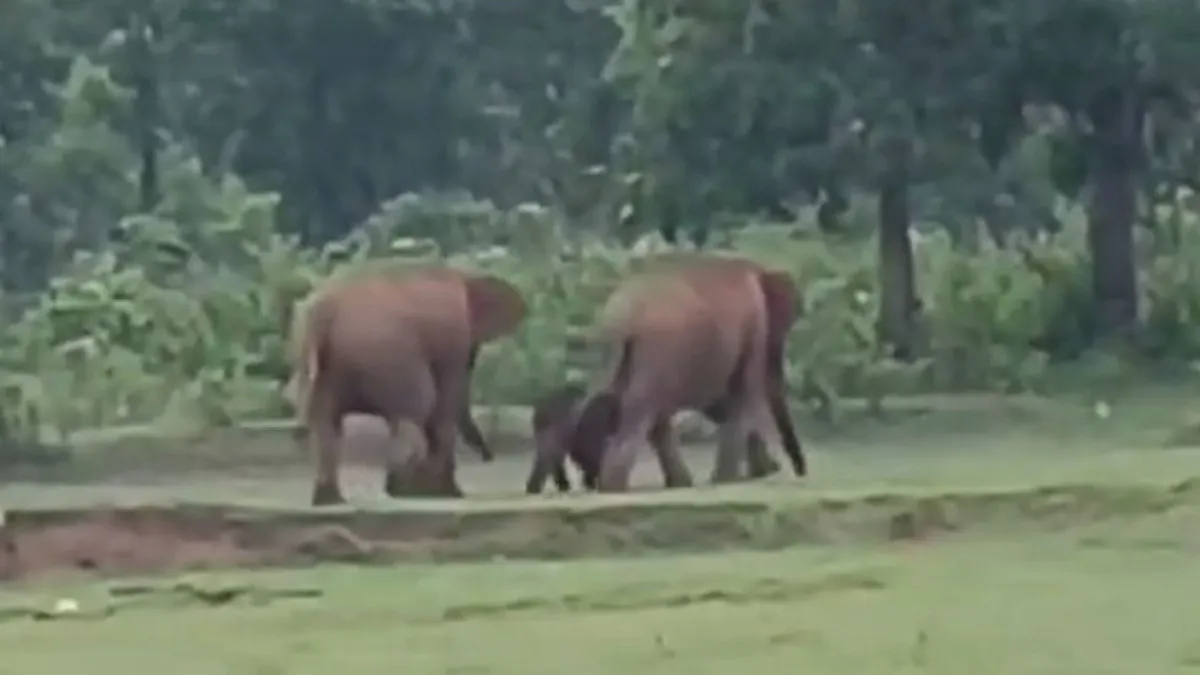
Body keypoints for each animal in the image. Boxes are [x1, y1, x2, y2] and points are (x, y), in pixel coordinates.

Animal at [291, 268, 527, 506]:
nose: (490, 457)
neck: (467, 275)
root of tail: (324, 311)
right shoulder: (454, 344)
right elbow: (445, 403)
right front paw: (446, 493)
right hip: (387, 355)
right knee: (414, 410)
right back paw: (402, 490)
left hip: (322, 364)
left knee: (326, 425)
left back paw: (331, 500)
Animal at [524, 255, 807, 494]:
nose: (799, 471)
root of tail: (623, 317)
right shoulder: (755, 329)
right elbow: (743, 394)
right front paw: (729, 480)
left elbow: (720, 404)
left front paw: (758, 472)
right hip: (659, 351)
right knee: (641, 412)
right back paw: (616, 487)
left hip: (616, 355)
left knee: (643, 411)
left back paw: (673, 483)